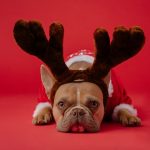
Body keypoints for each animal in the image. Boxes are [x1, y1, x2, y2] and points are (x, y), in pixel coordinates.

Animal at [13, 20, 145, 132]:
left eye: (94, 104)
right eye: (61, 104)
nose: (77, 111)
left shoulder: (121, 97)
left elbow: (123, 108)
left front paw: (129, 116)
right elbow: (44, 105)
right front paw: (42, 114)